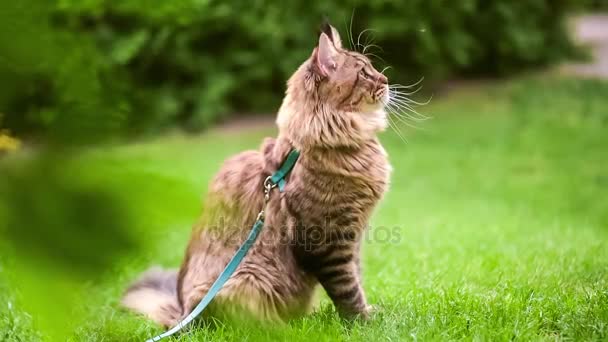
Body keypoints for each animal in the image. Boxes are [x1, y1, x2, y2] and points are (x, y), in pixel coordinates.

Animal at [121, 22, 392, 328]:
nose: (386, 79)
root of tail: (181, 314)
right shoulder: (324, 240)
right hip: (246, 280)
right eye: (364, 73)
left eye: (372, 67)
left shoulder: (352, 237)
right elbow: (347, 287)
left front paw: (367, 311)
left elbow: (356, 276)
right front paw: (361, 320)